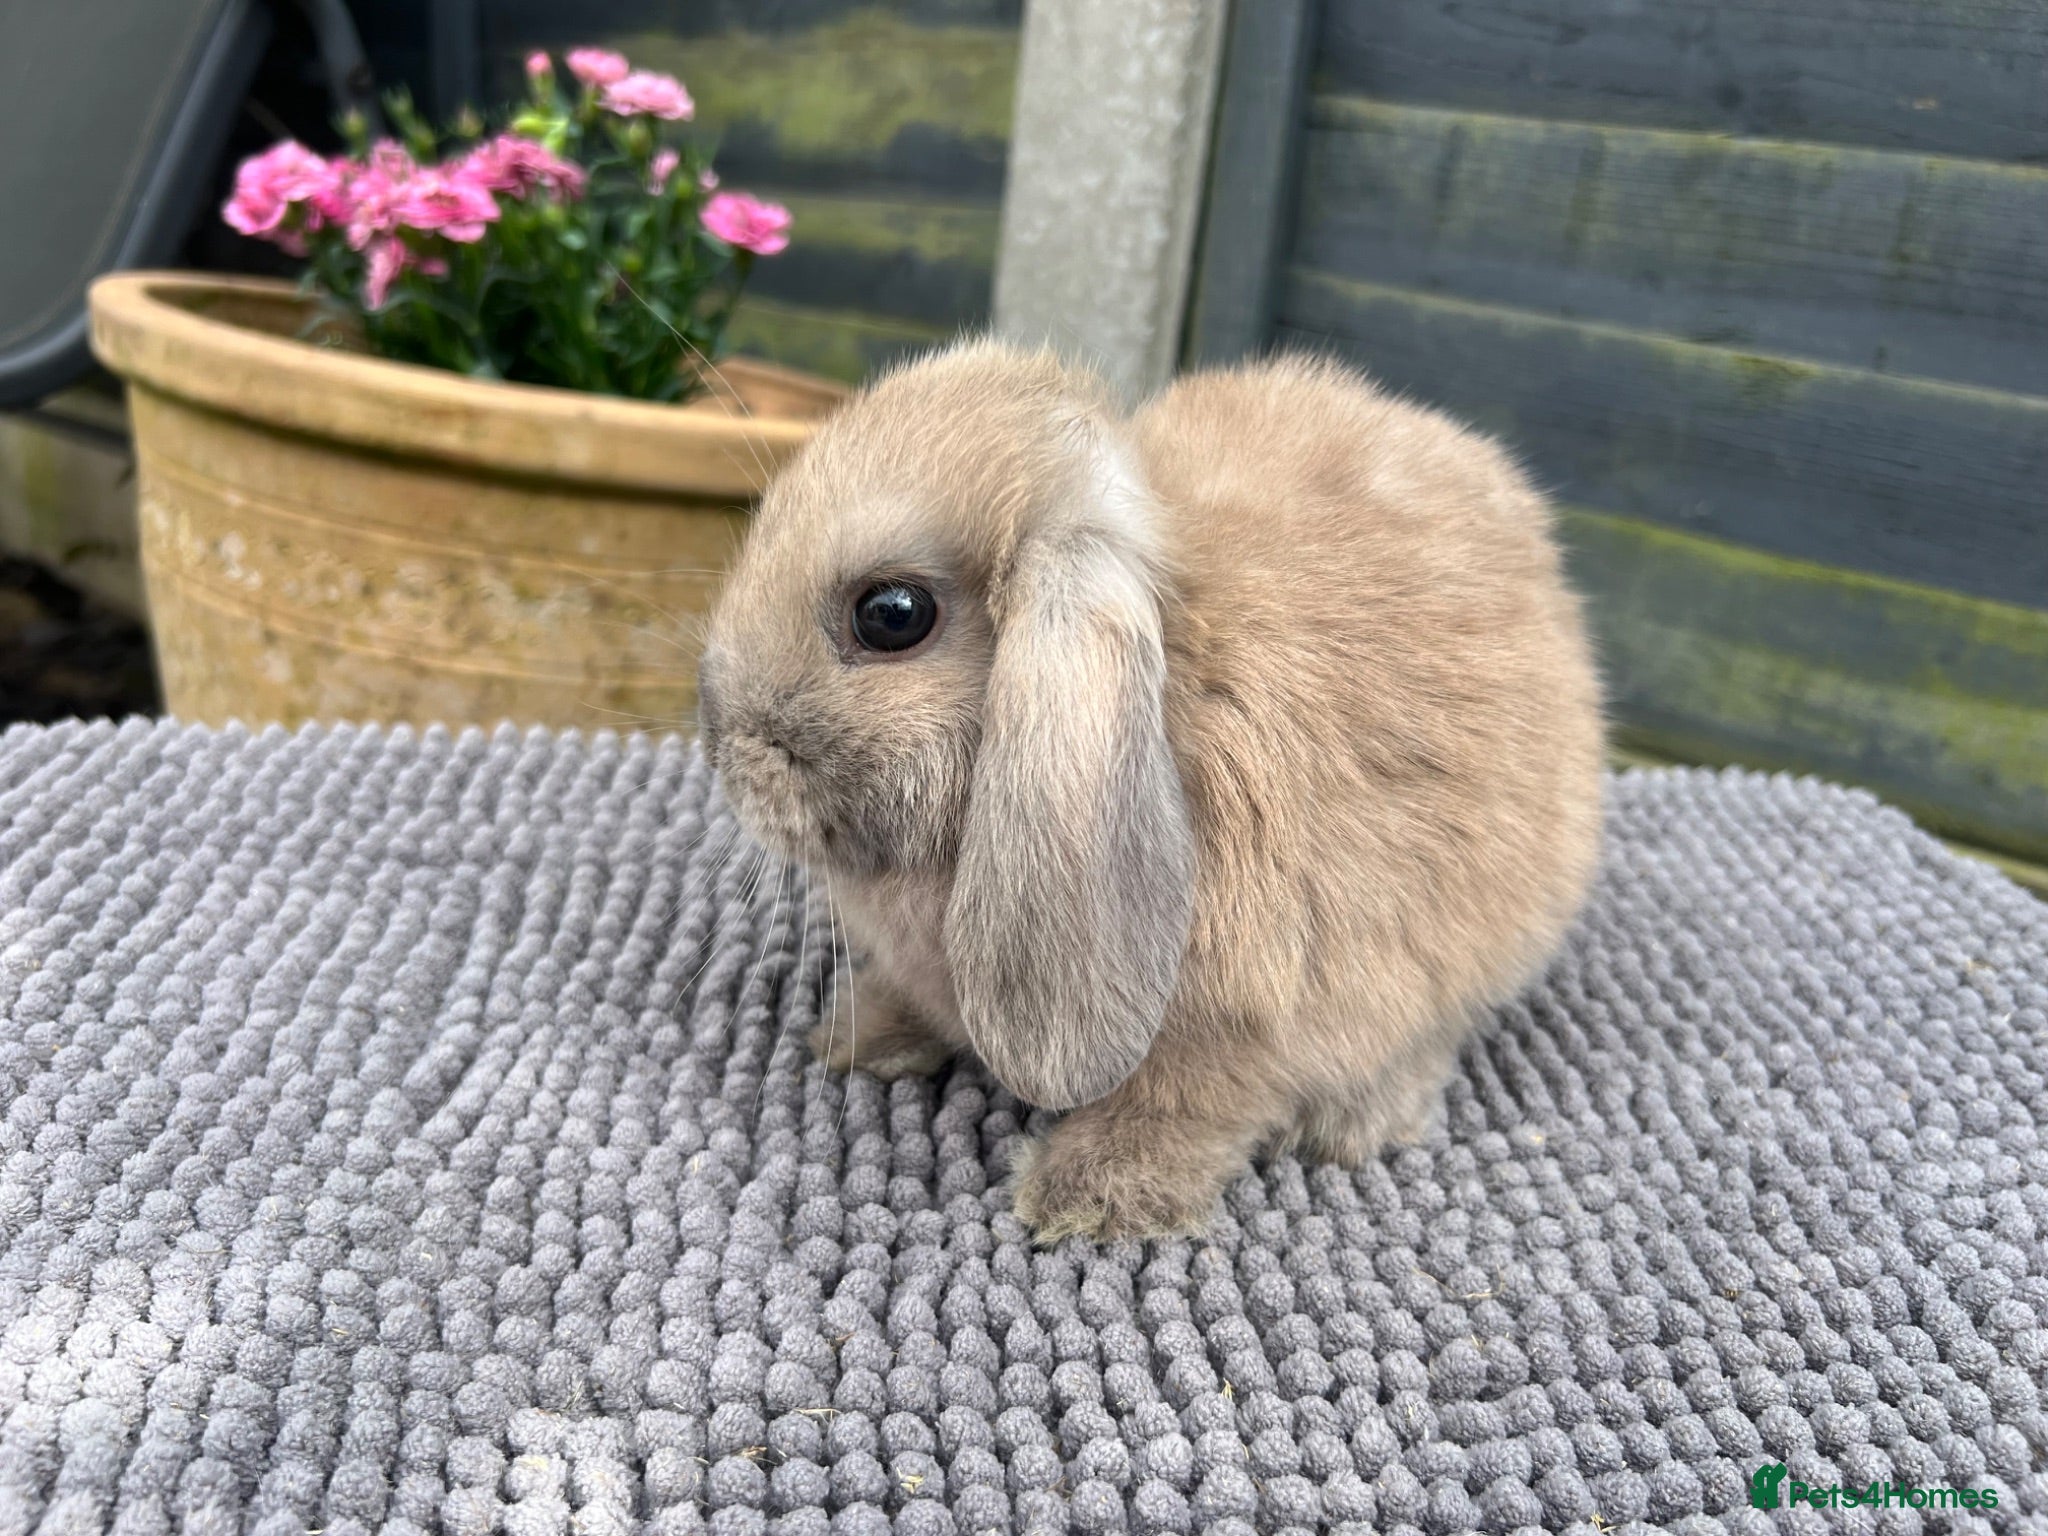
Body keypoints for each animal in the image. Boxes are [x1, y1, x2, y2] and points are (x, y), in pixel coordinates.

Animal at [697, 339, 1605, 1241]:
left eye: (892, 613)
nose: (718, 737)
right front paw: (859, 1035)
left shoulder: (1250, 1022)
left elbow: (1188, 1105)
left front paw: (1091, 1195)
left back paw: (1353, 1123)